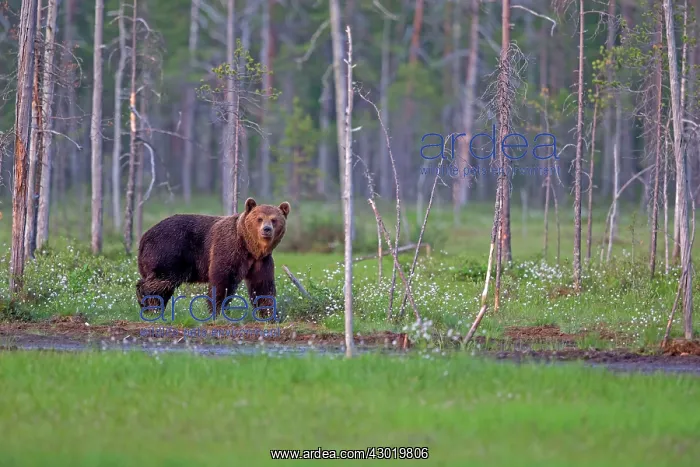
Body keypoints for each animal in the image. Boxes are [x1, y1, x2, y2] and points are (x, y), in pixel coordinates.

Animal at [136, 197, 290, 320]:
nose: (266, 229)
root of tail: (144, 236)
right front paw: (218, 312)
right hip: (169, 252)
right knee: (161, 280)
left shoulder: (261, 261)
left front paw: (270, 314)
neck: (250, 247)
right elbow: (223, 280)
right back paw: (149, 305)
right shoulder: (228, 249)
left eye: (274, 220)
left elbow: (262, 285)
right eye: (259, 219)